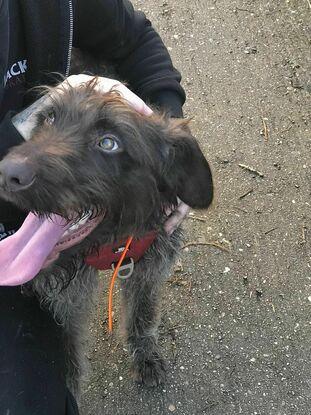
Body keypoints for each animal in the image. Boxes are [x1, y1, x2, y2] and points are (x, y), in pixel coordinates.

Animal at [0, 77, 213, 396]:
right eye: (49, 118)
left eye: (109, 143)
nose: (7, 173)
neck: (109, 242)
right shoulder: (65, 299)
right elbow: (68, 349)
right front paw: (70, 387)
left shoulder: (150, 265)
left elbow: (142, 313)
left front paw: (145, 355)